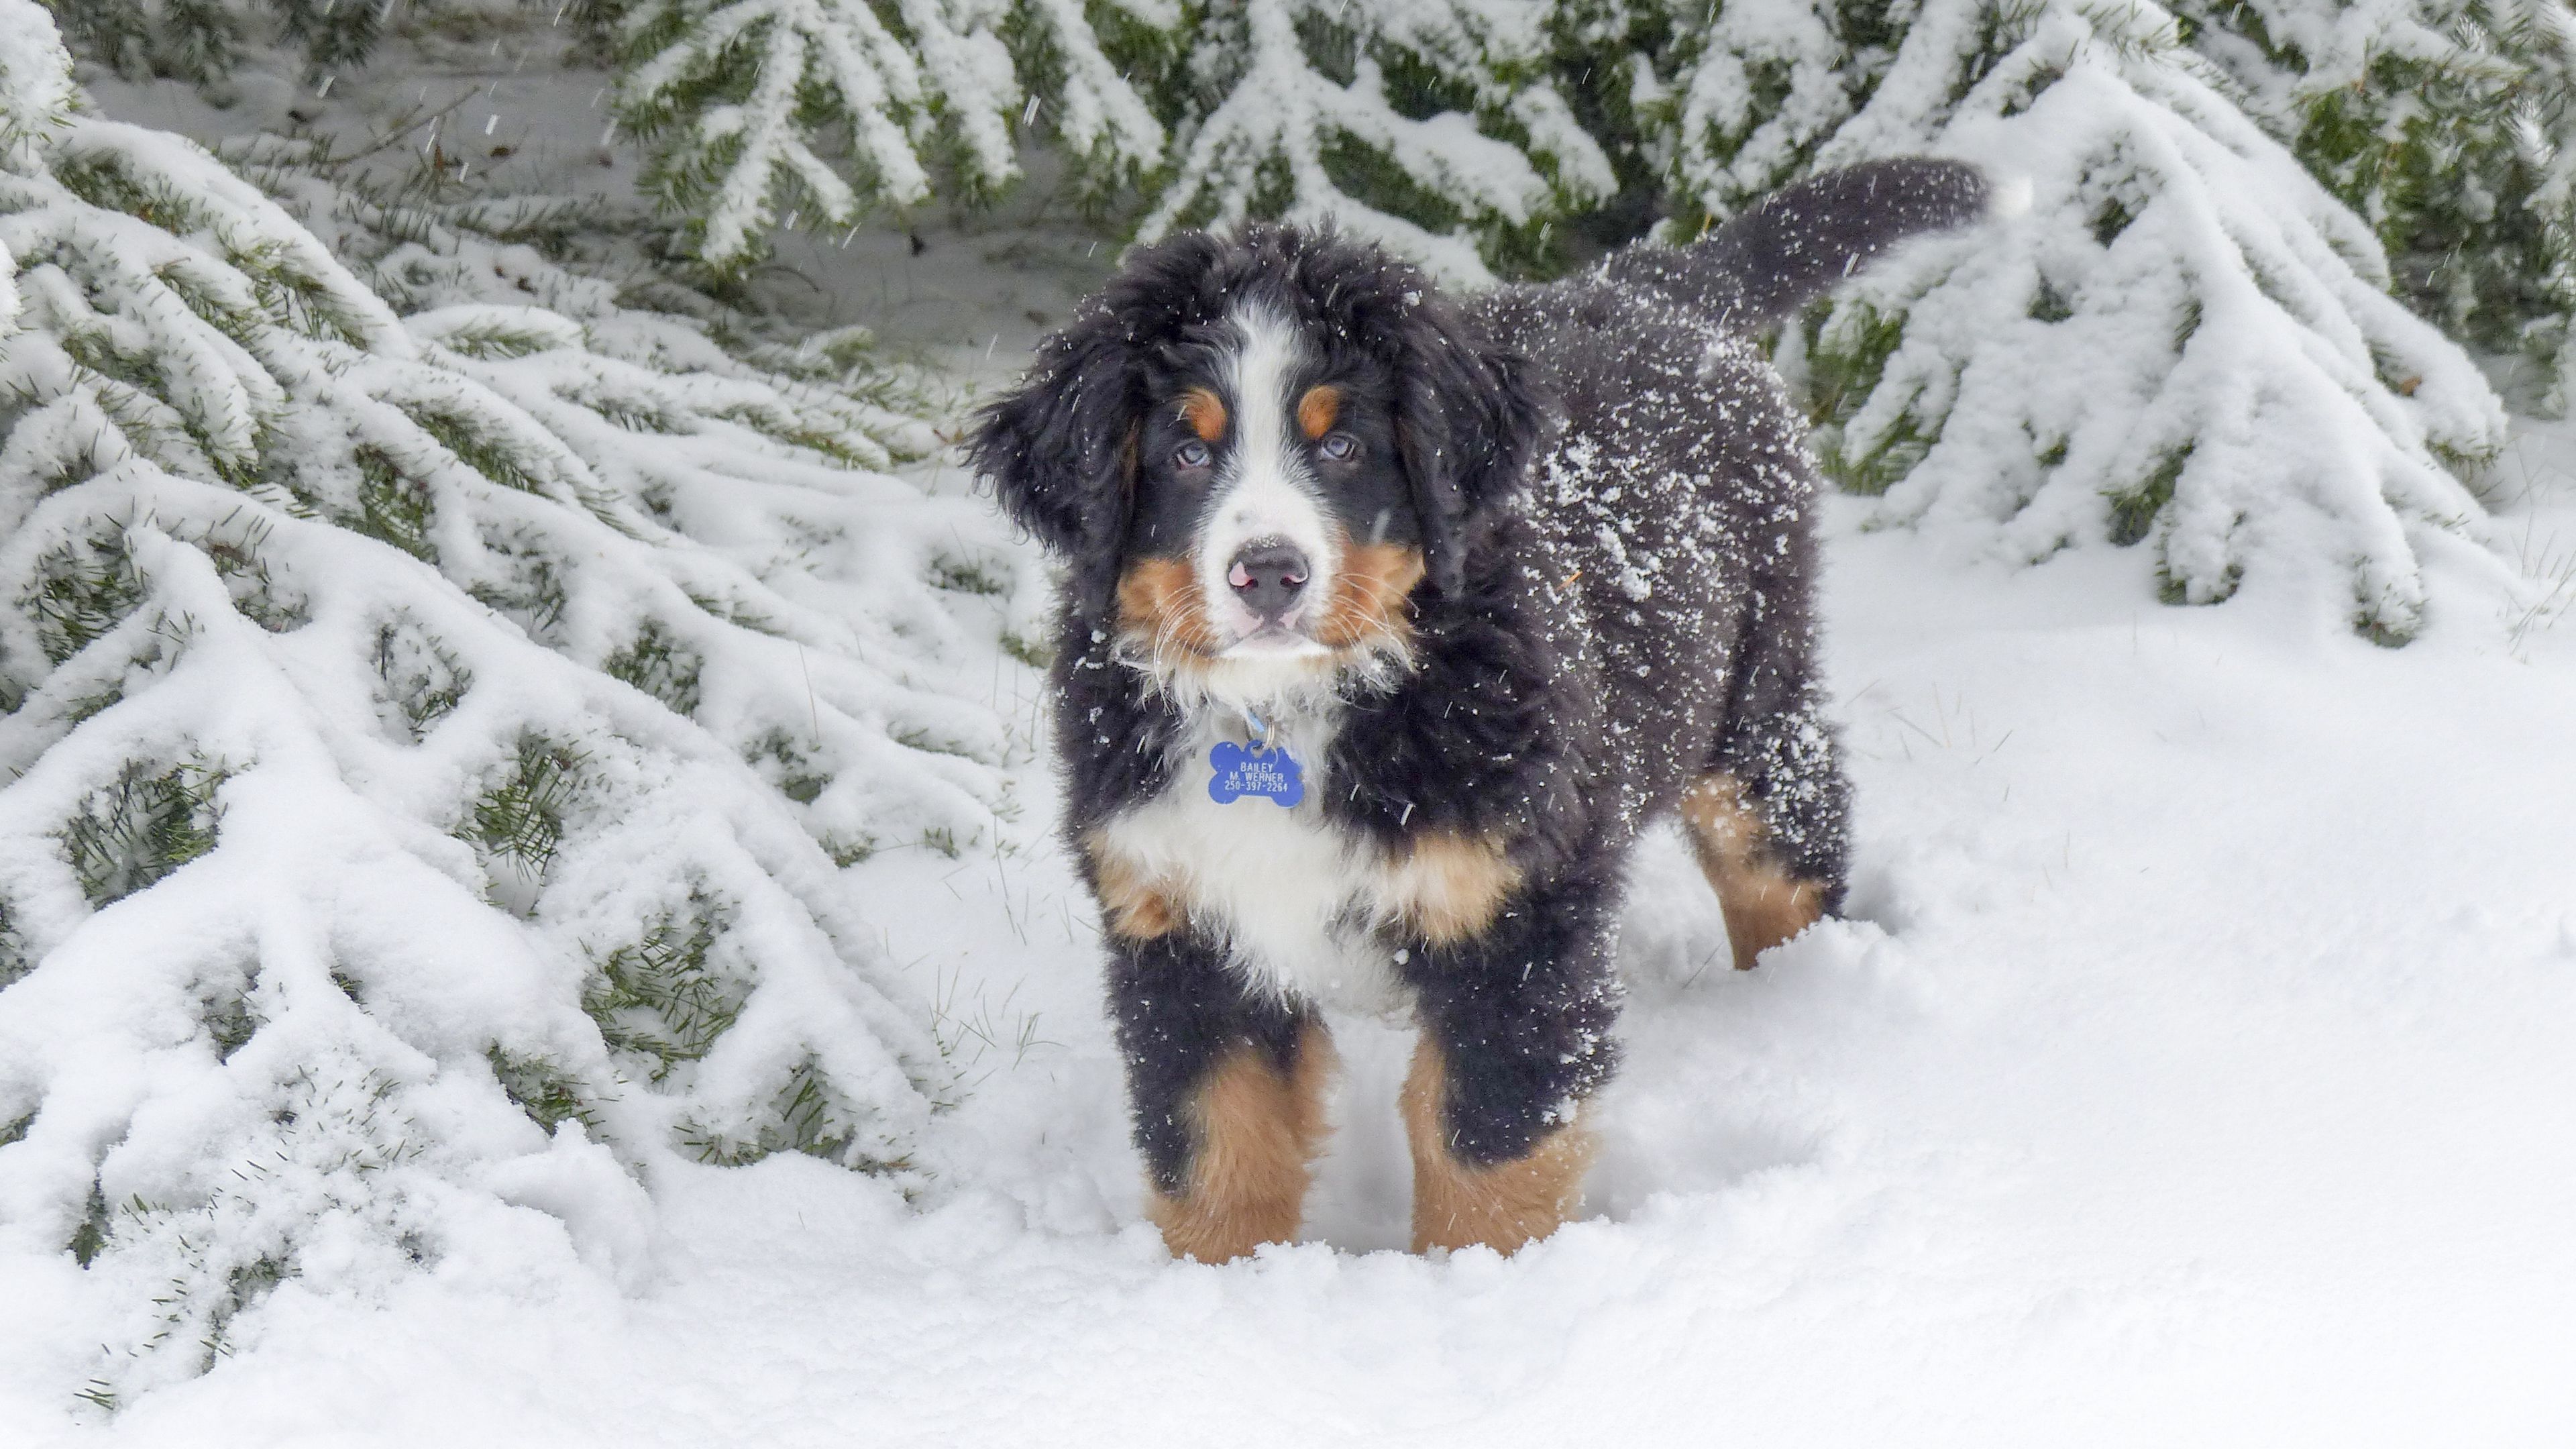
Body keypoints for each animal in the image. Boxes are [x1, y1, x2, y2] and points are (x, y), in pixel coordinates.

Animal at [968, 158, 1988, 1258]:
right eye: (1186, 454)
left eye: (1345, 447)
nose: (1269, 573)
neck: (1289, 710)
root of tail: (1652, 283)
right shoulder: (1179, 926)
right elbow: (1214, 1151)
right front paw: (1219, 1285)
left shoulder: (1514, 920)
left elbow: (1484, 1148)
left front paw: (1479, 1287)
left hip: (1751, 706)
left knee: (1786, 857)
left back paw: (1803, 1003)